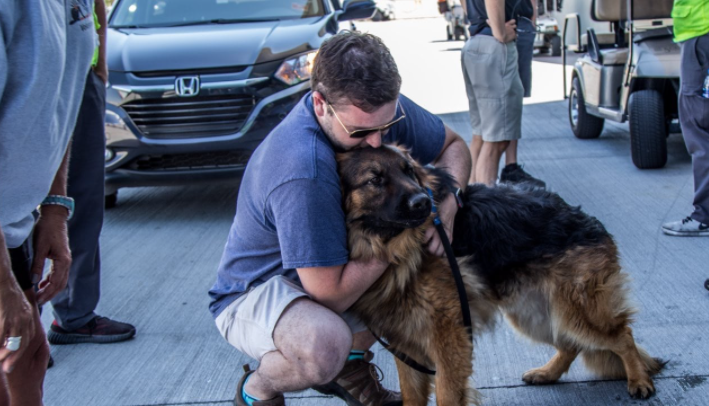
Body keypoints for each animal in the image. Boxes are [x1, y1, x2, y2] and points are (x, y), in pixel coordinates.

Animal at [338, 146, 664, 406]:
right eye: (375, 180)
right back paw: (548, 373)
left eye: (409, 172)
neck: (399, 252)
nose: (423, 203)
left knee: (622, 335)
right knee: (571, 343)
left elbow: (446, 395)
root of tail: (571, 209)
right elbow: (411, 396)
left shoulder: (449, 340)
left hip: (575, 310)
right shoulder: (405, 343)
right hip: (535, 314)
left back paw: (639, 380)